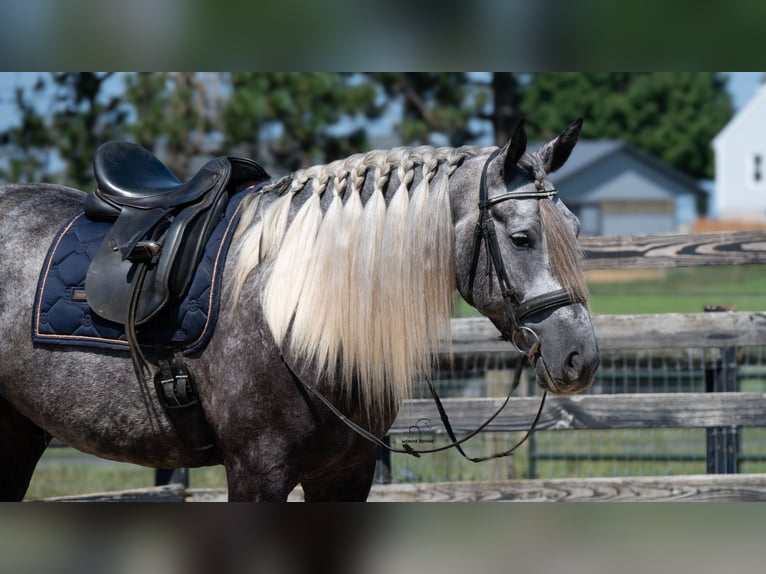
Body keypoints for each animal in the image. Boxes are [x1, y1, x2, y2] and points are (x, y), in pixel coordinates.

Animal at [0, 119, 599, 501]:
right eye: (521, 238)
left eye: (576, 230)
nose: (580, 357)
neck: (292, 314)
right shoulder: (257, 472)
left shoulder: (346, 474)